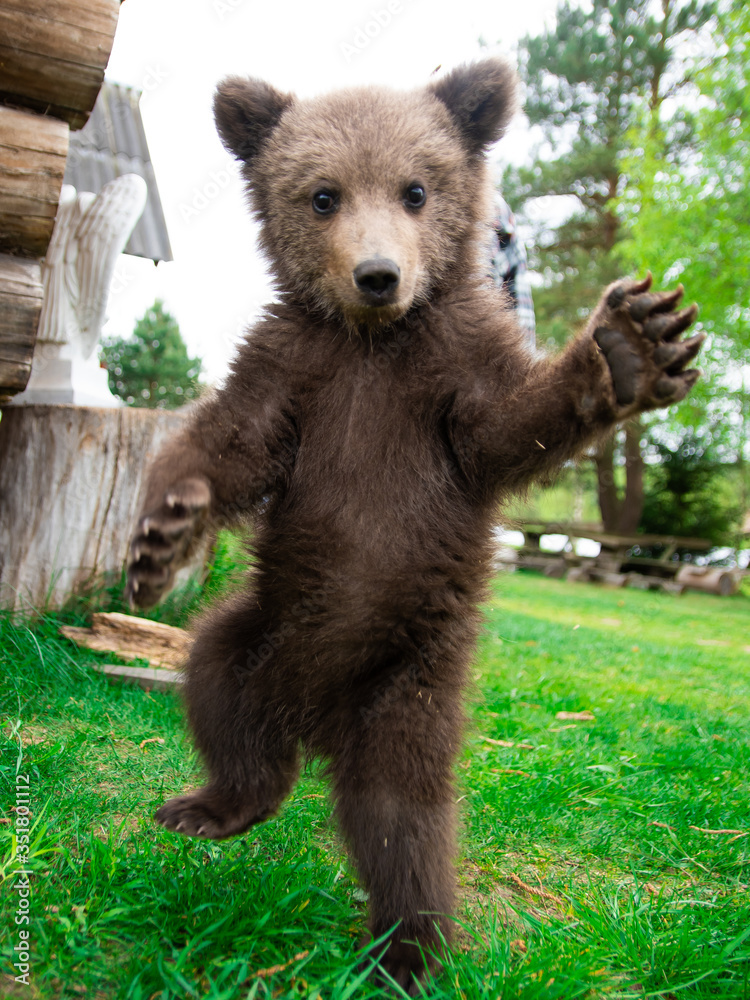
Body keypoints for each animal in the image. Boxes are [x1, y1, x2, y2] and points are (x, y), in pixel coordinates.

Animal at [126, 59, 702, 992]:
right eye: (322, 195)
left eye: (417, 189)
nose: (377, 275)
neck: (373, 344)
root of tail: (314, 719)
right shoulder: (296, 370)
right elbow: (232, 444)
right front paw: (164, 534)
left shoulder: (449, 374)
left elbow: (509, 426)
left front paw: (630, 345)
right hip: (258, 631)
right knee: (217, 694)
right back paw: (216, 803)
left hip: (409, 682)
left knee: (403, 821)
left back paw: (406, 950)